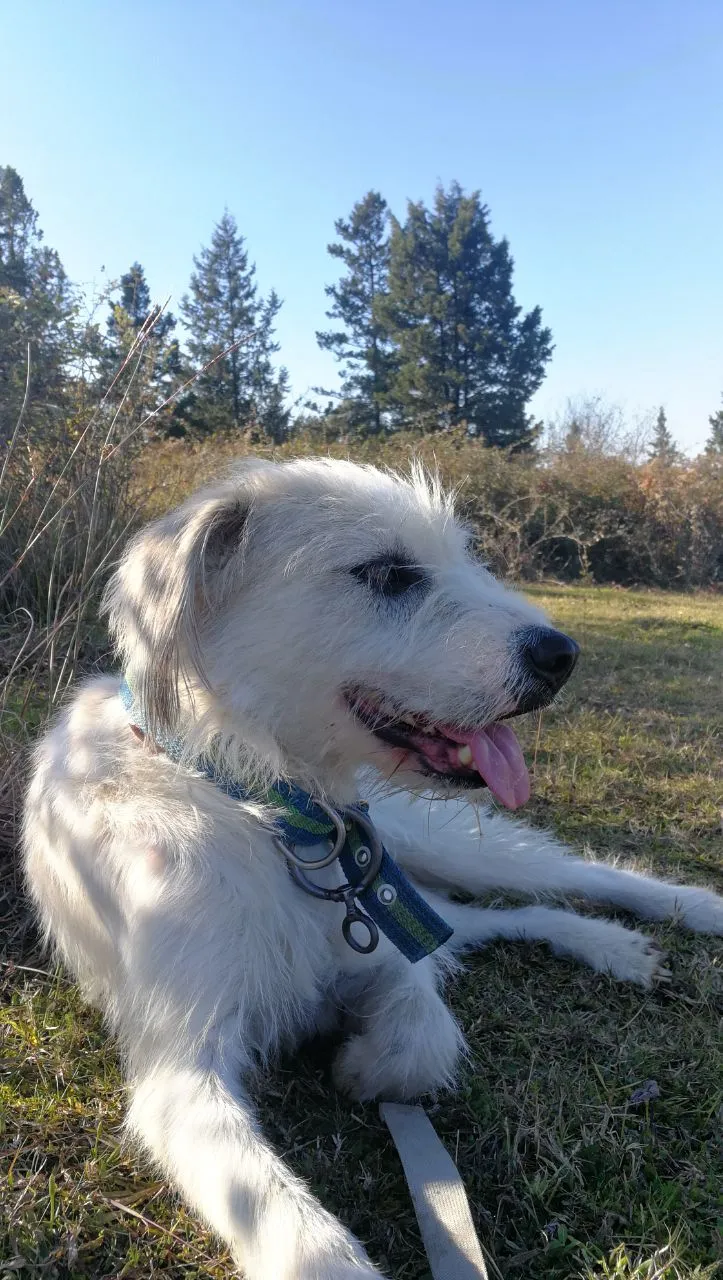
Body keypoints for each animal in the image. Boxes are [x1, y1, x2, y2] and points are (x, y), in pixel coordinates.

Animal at [23, 455, 721, 1274]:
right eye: (388, 573)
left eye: (464, 556)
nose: (563, 656)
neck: (272, 814)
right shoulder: (182, 1072)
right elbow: (297, 1230)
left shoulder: (385, 935)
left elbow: (423, 1034)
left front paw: (363, 1064)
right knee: (492, 918)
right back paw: (613, 947)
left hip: (432, 848)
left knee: (568, 878)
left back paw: (679, 915)